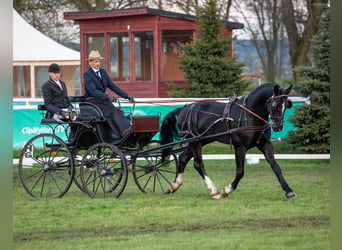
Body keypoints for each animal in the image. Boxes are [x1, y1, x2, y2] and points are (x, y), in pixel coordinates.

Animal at [160, 83, 296, 199]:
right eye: (274, 104)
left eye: (286, 105)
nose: (278, 126)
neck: (249, 114)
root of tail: (184, 108)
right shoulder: (240, 147)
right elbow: (240, 172)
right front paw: (227, 190)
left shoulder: (265, 145)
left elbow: (276, 167)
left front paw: (289, 191)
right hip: (195, 142)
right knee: (198, 164)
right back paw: (214, 191)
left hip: (199, 140)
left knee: (182, 158)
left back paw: (174, 186)